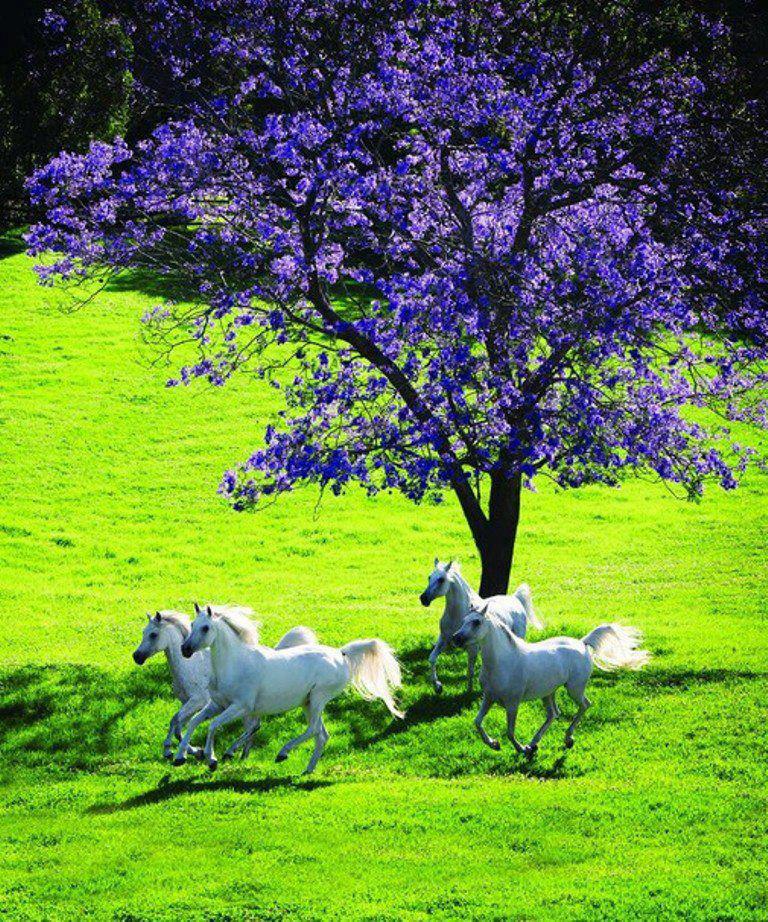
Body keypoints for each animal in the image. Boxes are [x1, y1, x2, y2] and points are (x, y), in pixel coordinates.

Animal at [132, 607, 318, 760]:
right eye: (143, 632)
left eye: (153, 634)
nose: (136, 656)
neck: (190, 667)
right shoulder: (190, 703)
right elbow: (179, 723)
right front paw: (185, 751)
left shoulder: (198, 701)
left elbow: (177, 722)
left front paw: (186, 751)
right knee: (254, 726)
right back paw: (242, 755)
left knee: (254, 726)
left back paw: (235, 753)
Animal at [173, 605, 403, 774]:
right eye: (192, 624)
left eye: (205, 628)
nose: (185, 649)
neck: (234, 663)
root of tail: (341, 654)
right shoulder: (217, 705)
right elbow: (194, 722)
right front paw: (180, 757)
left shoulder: (240, 707)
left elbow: (212, 726)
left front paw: (211, 759)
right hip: (308, 703)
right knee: (322, 735)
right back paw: (307, 770)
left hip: (318, 698)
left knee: (314, 730)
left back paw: (282, 753)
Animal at [419, 559, 543, 694]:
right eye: (429, 577)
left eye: (441, 579)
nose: (423, 599)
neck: (458, 614)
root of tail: (515, 598)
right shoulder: (444, 639)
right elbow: (432, 658)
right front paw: (438, 687)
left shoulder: (472, 648)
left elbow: (470, 670)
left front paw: (469, 692)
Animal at [452, 603, 650, 756]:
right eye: (463, 620)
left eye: (476, 622)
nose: (456, 638)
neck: (503, 661)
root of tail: (582, 644)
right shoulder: (489, 698)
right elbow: (477, 722)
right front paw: (495, 744)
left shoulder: (512, 703)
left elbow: (509, 732)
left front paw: (521, 749)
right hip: (548, 693)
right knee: (554, 714)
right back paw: (534, 743)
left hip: (574, 689)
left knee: (585, 705)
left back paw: (567, 739)